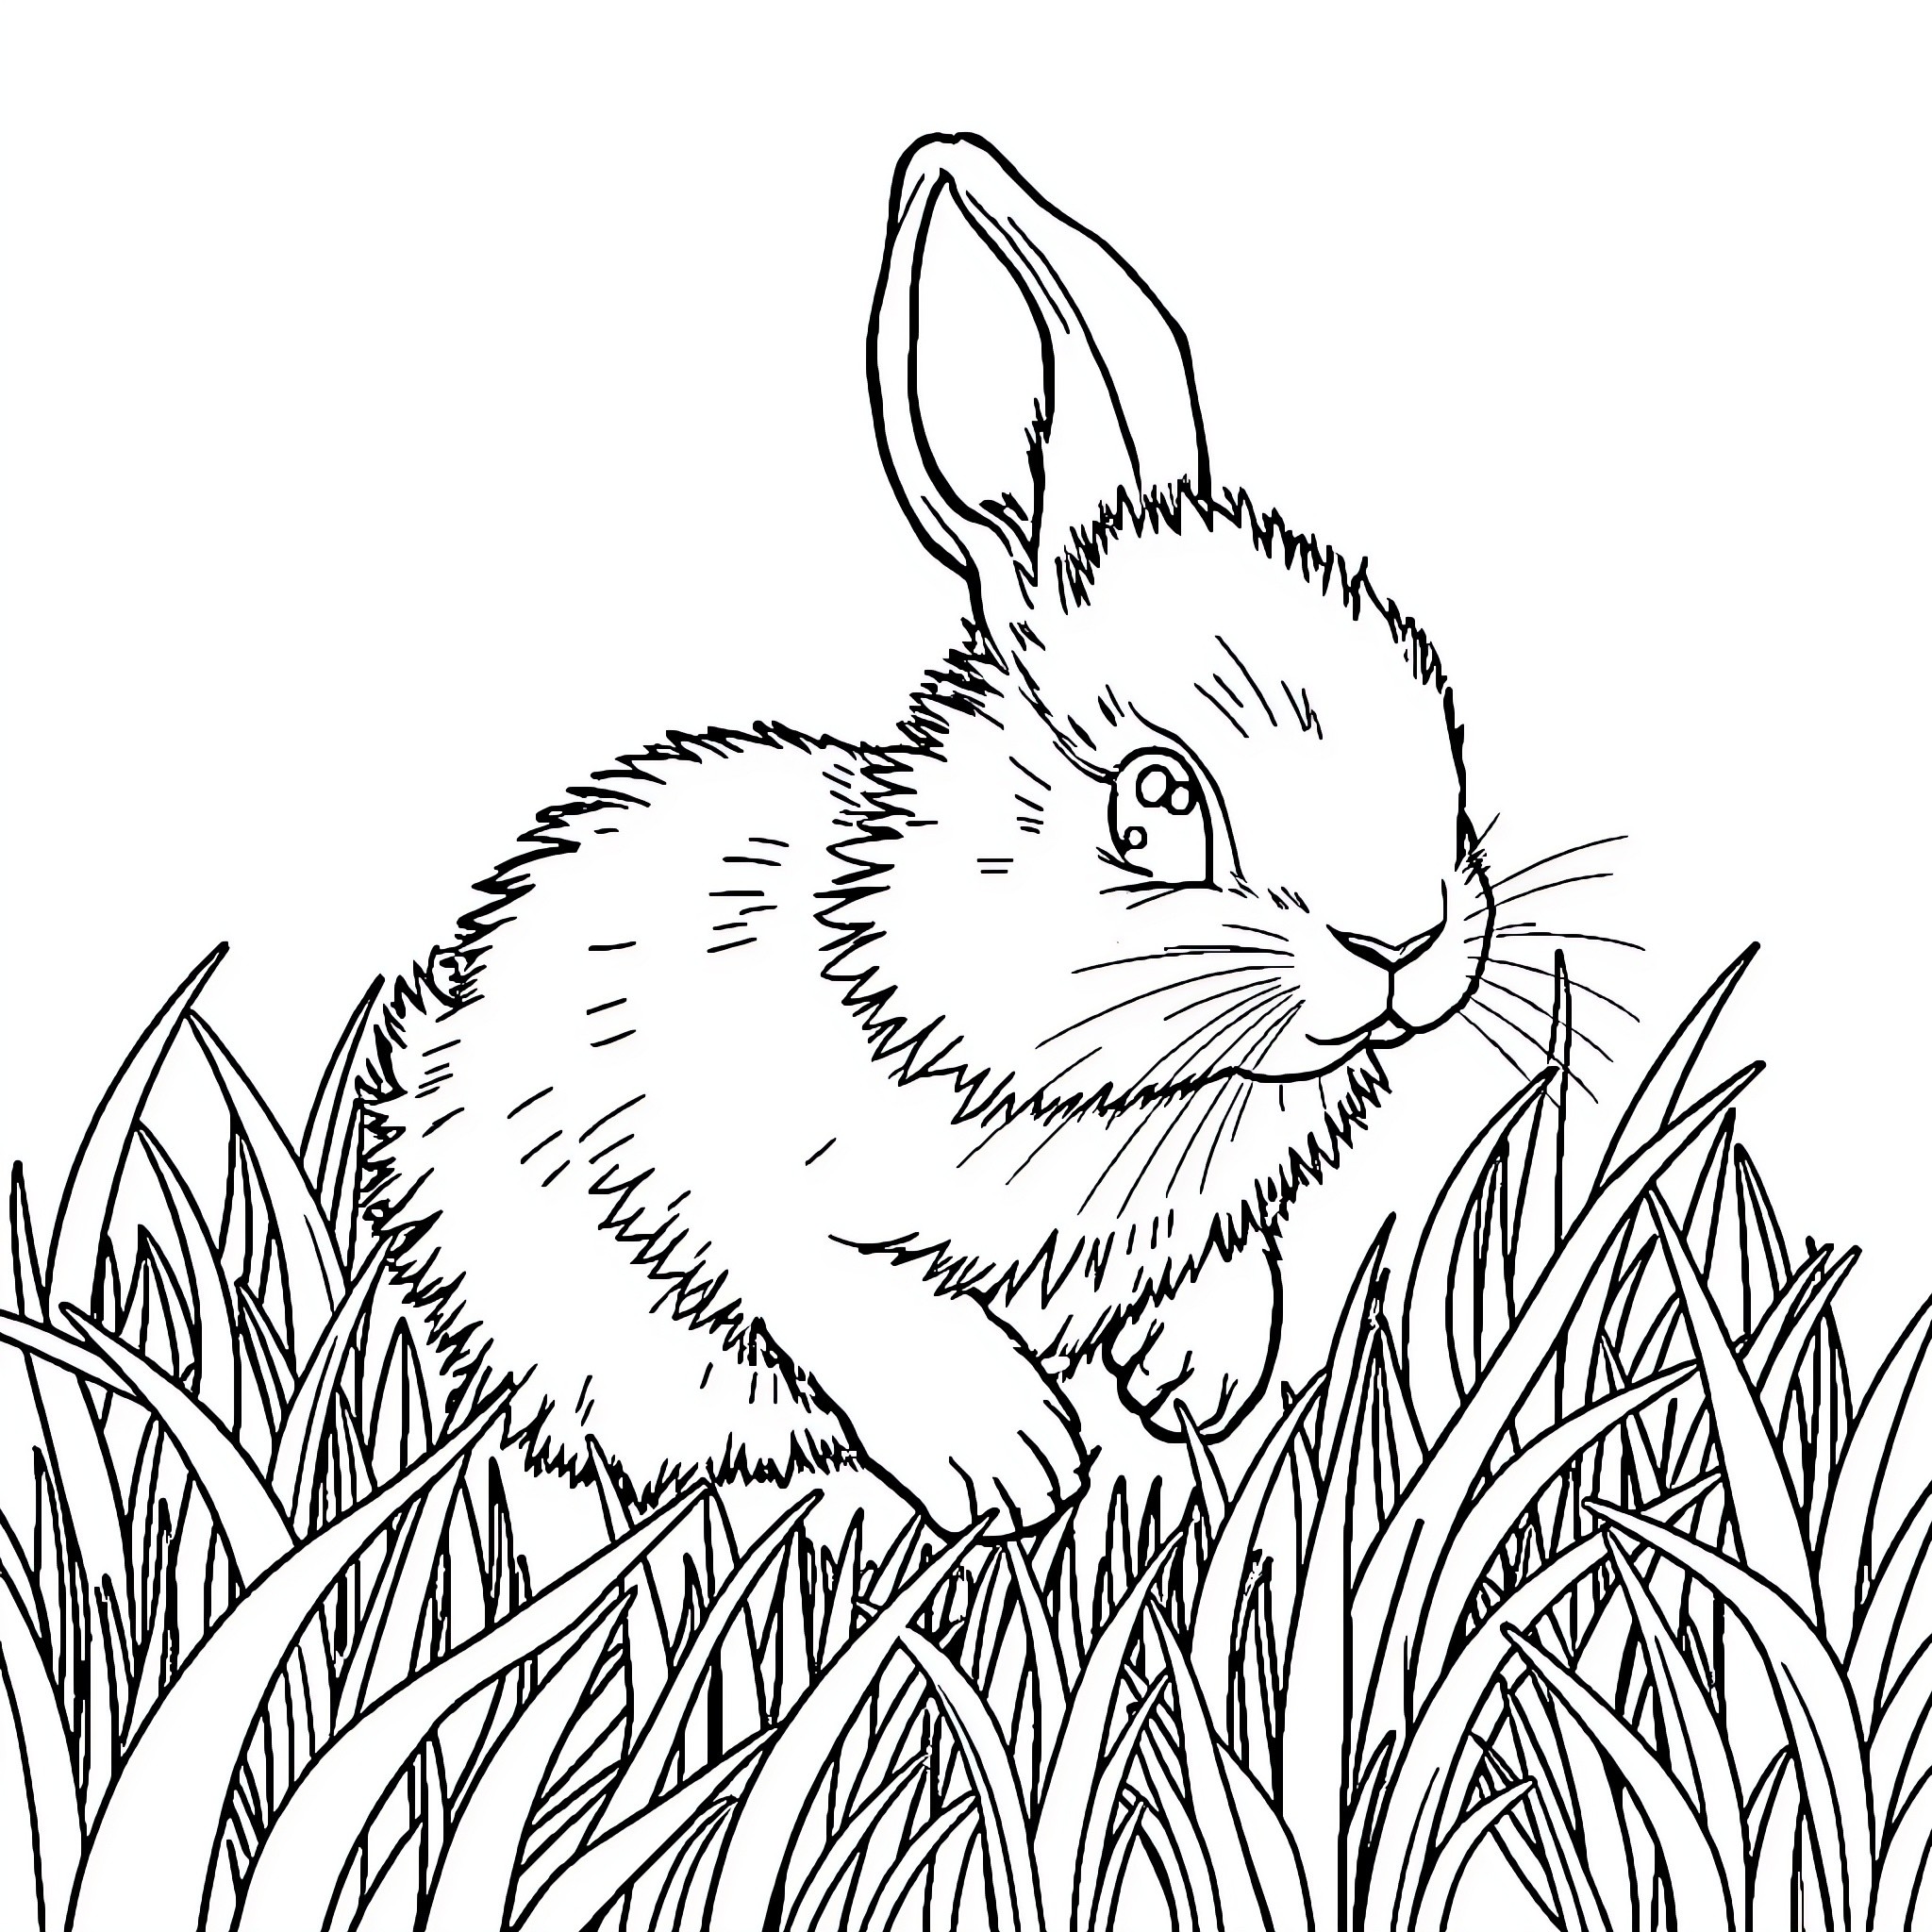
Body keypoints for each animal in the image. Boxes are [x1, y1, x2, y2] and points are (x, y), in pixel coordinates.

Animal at [364, 133, 1498, 1536]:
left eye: (1437, 725)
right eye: (1159, 799)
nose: (1399, 942)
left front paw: (1194, 1375)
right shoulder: (743, 1192)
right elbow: (857, 1302)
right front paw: (1011, 1463)